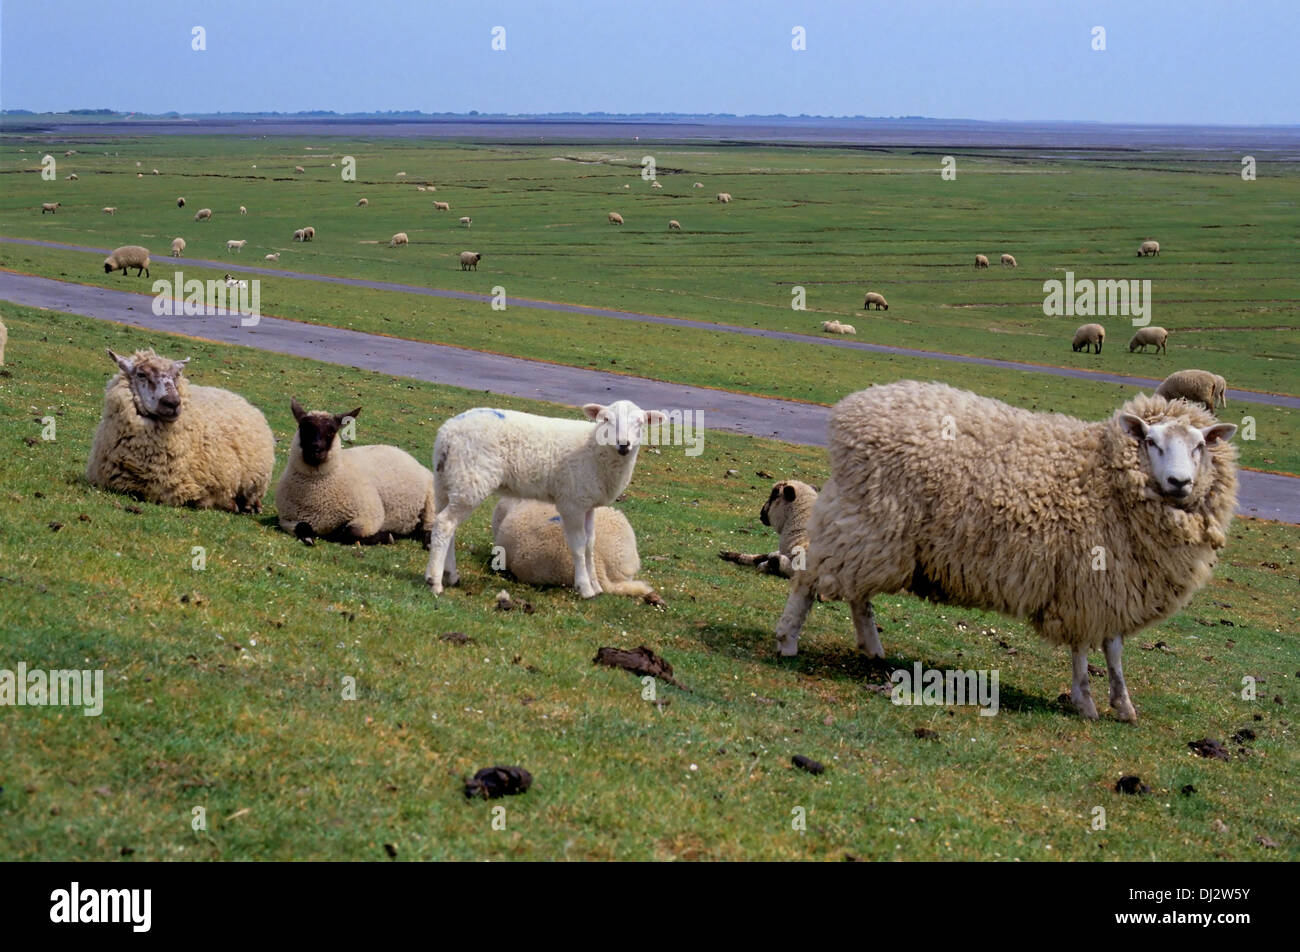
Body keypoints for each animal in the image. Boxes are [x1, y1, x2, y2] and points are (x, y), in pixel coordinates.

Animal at [274, 397, 436, 546]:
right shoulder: (287, 519)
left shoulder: (369, 517)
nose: (316, 449)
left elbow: (347, 532)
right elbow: (302, 527)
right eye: (303, 428)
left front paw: (386, 537)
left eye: (332, 431)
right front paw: (309, 537)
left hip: (432, 500)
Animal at [769, 379, 1237, 723]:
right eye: (1152, 442)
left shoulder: (1113, 582)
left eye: (1199, 446)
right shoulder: (1085, 581)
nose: (1180, 482)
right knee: (809, 578)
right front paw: (1085, 702)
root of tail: (851, 411)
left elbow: (1114, 650)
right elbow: (1084, 649)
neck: (1105, 476)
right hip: (866, 520)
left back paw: (871, 647)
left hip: (875, 532)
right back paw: (788, 640)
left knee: (856, 591)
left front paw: (1122, 705)